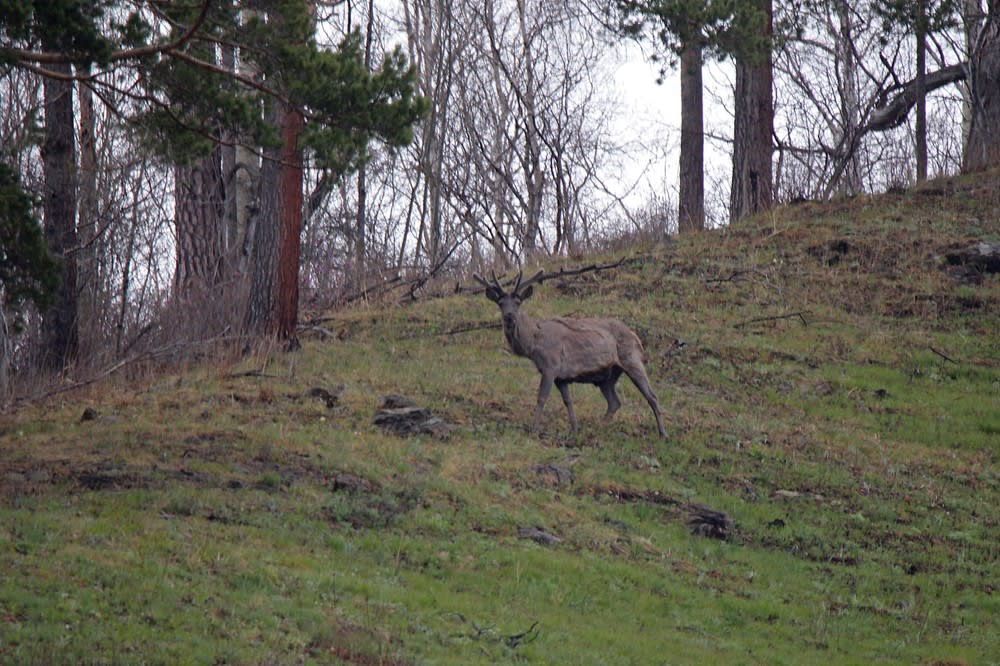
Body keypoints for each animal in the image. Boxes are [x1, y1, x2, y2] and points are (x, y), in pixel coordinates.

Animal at [474, 269, 666, 439]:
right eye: (500, 303)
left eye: (518, 302)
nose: (509, 316)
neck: (533, 345)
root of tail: (635, 336)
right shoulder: (562, 377)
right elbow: (568, 401)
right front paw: (574, 428)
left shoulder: (551, 366)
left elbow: (541, 398)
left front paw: (534, 429)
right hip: (606, 377)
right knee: (614, 402)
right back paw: (598, 426)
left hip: (631, 359)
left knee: (652, 396)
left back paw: (663, 433)